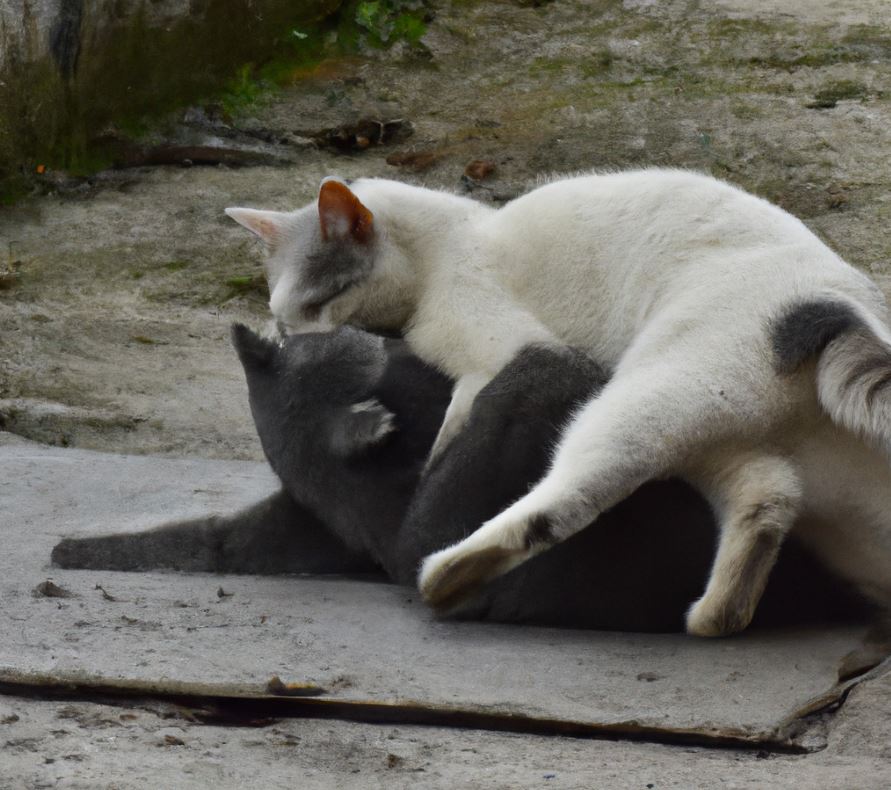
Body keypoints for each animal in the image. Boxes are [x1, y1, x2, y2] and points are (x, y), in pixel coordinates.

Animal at [226, 172, 891, 636]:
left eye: (318, 306)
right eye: (284, 321)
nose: (296, 340)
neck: (450, 243)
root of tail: (834, 305)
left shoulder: (507, 349)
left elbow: (455, 428)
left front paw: (429, 467)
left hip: (645, 402)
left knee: (563, 505)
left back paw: (446, 574)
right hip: (708, 426)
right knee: (768, 497)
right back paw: (713, 616)